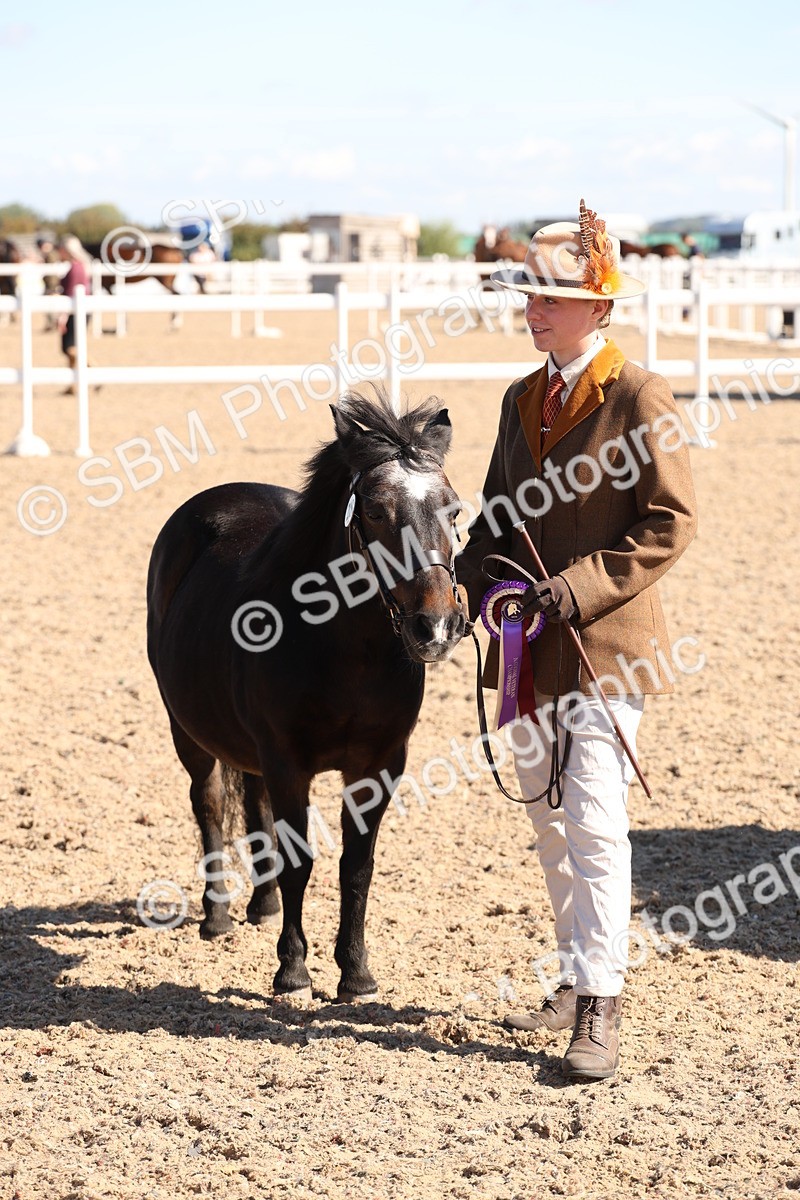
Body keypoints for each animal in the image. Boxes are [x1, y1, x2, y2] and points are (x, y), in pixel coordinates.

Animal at [146, 388, 467, 1002]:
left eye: (454, 509)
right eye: (374, 510)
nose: (435, 625)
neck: (346, 653)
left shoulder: (378, 765)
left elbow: (356, 866)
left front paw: (356, 973)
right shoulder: (288, 761)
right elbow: (300, 860)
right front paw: (293, 970)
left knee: (253, 805)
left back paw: (263, 904)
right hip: (186, 730)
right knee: (210, 804)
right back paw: (217, 915)